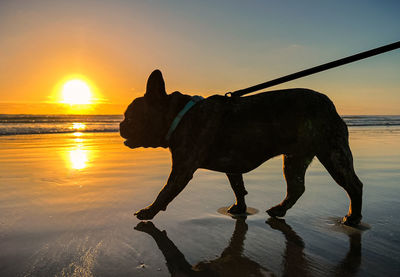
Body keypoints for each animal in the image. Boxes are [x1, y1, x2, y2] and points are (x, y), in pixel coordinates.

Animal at [119, 69, 362, 224]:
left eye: (130, 117)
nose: (121, 125)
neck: (179, 115)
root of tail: (329, 104)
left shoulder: (182, 168)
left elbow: (166, 191)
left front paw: (149, 211)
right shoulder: (232, 165)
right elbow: (237, 186)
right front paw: (240, 208)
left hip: (332, 153)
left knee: (354, 185)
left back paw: (352, 218)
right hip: (295, 158)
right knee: (296, 187)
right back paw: (280, 209)